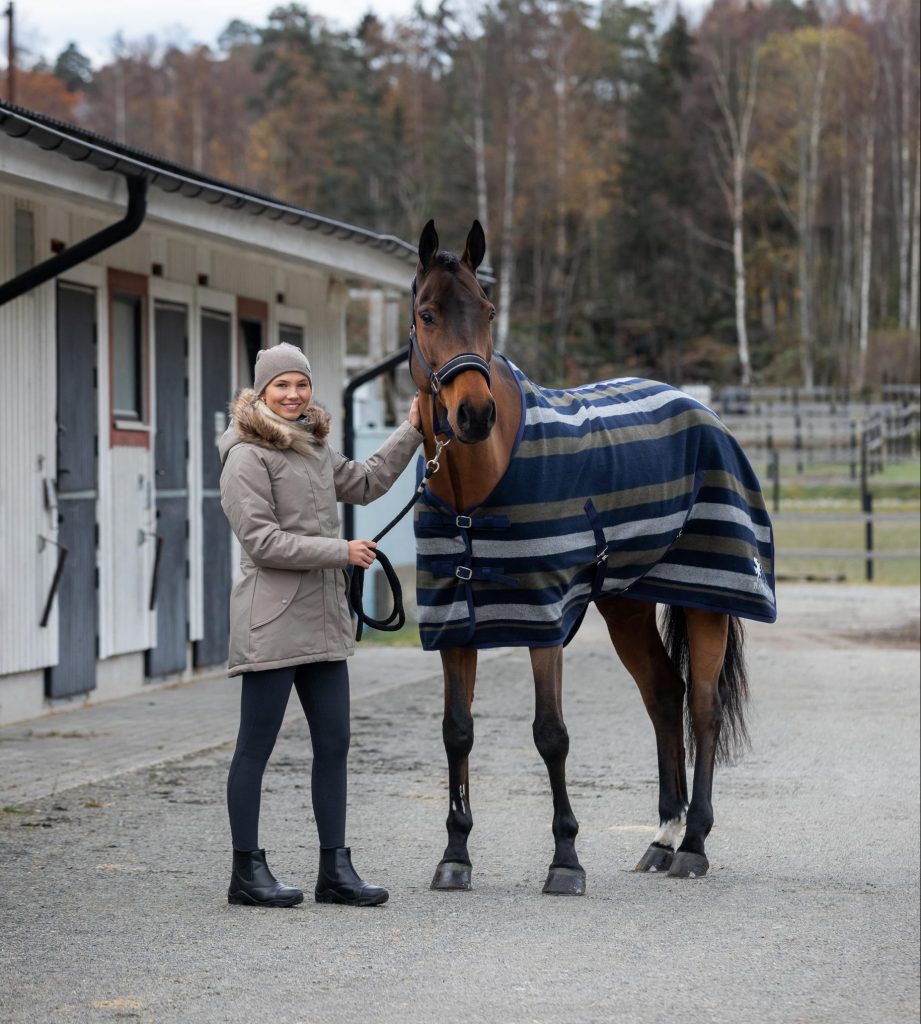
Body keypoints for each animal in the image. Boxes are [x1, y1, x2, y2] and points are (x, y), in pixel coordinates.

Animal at [406, 219, 776, 894]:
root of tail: (705, 412)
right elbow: (456, 732)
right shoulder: (455, 624)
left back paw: (694, 844)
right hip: (625, 604)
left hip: (707, 598)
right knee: (664, 695)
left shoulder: (544, 620)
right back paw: (662, 838)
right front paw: (455, 854)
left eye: (488, 311)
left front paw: (565, 859)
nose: (474, 414)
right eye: (427, 315)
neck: (477, 490)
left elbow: (550, 735)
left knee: (703, 708)